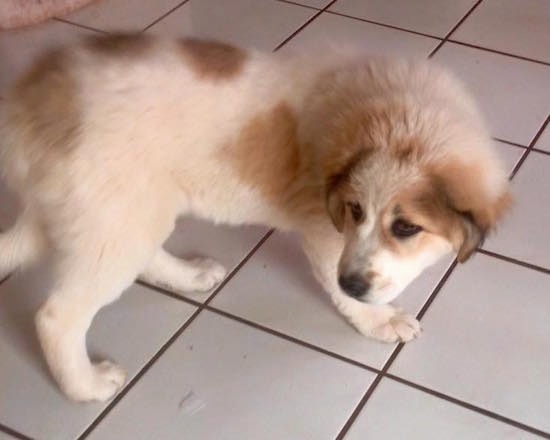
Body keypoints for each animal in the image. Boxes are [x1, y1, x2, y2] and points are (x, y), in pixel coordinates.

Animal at [0, 35, 512, 402]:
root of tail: (26, 110)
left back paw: (188, 275)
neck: (402, 117)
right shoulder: (325, 234)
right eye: (355, 210)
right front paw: (377, 321)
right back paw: (86, 387)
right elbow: (339, 286)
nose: (354, 284)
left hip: (133, 213)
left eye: (406, 227)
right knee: (56, 317)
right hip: (116, 220)